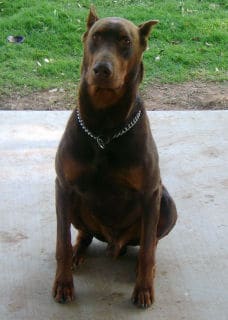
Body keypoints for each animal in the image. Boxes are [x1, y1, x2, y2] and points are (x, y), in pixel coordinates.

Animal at [52, 6, 177, 308]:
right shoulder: (63, 186)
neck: (104, 128)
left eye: (126, 41)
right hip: (75, 204)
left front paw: (143, 288)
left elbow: (147, 249)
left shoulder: (150, 192)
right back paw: (78, 252)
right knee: (83, 234)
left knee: (150, 242)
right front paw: (63, 283)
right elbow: (61, 242)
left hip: (166, 204)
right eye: (95, 37)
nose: (101, 69)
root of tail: (114, 244)